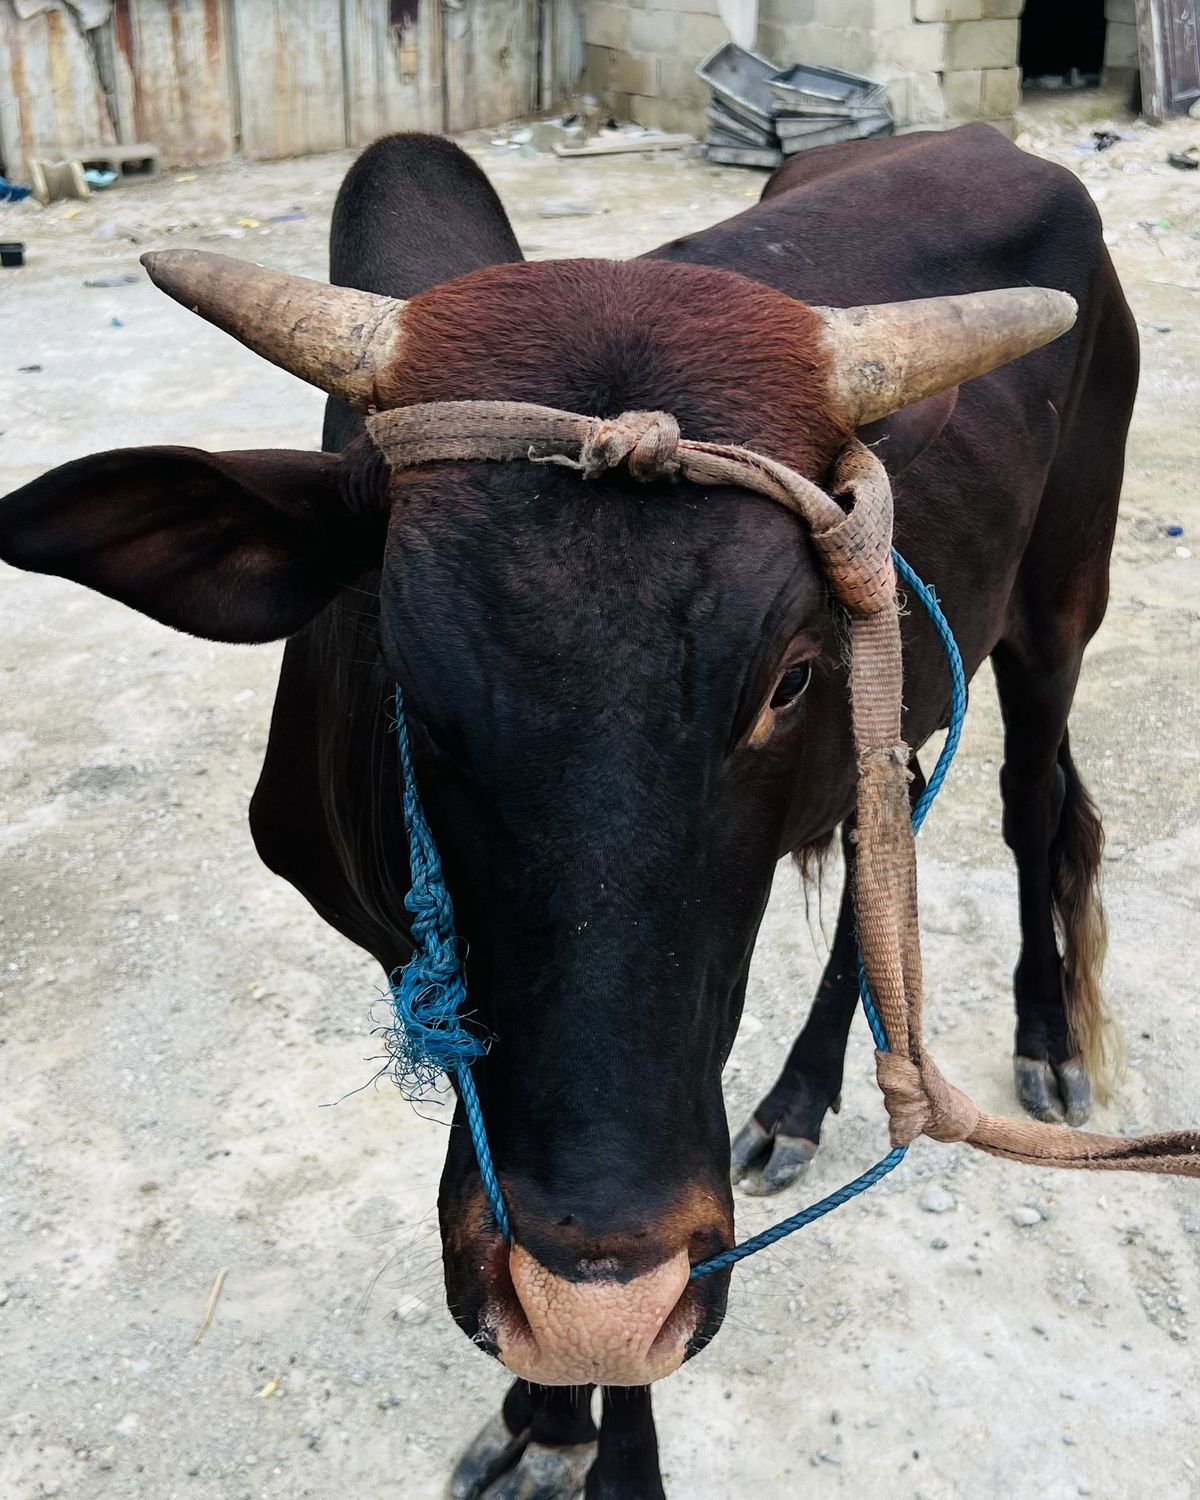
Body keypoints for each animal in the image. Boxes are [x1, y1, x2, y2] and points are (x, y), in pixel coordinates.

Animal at [0, 126, 1136, 1498]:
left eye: (789, 676)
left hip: (1059, 609)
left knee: (1032, 805)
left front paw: (589, 1423)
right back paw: (797, 1103)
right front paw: (546, 1403)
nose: (597, 1309)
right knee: (891, 829)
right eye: (403, 663)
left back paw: (1045, 1039)